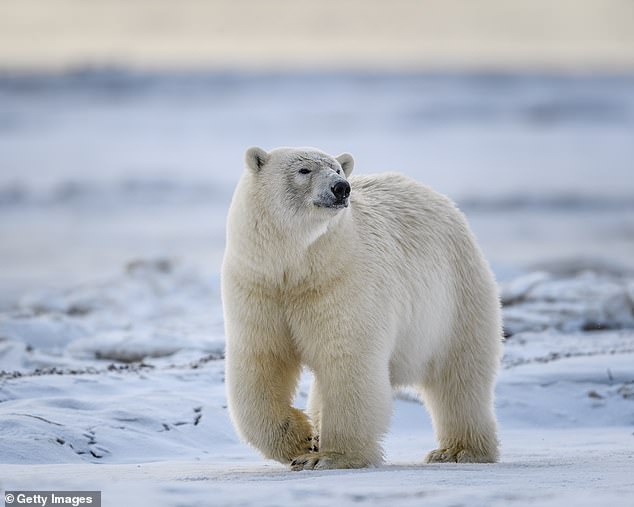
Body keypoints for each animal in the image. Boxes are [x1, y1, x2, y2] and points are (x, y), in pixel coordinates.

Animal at [220, 145, 502, 470]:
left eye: (337, 169)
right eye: (304, 170)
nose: (341, 188)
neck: (296, 267)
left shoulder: (341, 280)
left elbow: (347, 359)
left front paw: (330, 456)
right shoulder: (259, 287)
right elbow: (262, 361)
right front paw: (302, 441)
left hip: (455, 297)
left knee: (459, 377)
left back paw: (458, 451)